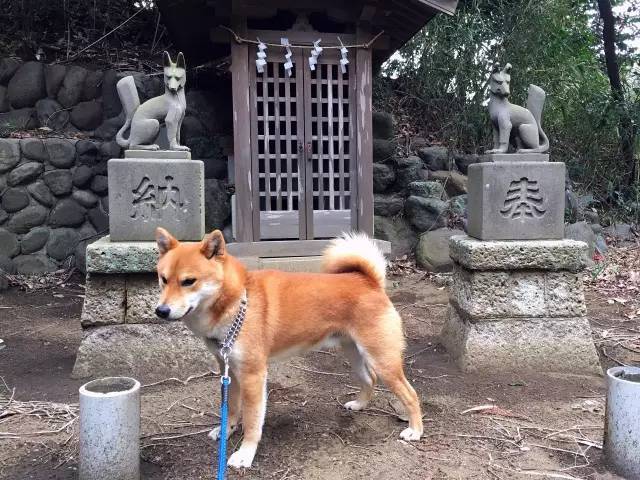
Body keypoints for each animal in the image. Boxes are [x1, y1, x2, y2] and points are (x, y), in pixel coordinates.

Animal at [156, 228, 424, 468]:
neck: (238, 301)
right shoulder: (228, 369)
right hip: (353, 353)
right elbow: (231, 408)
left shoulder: (253, 375)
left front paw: (244, 455)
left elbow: (252, 421)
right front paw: (226, 431)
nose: (161, 310)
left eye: (189, 282)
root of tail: (368, 281)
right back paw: (359, 405)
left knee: (410, 394)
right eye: (163, 279)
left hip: (382, 360)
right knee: (369, 379)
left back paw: (415, 430)